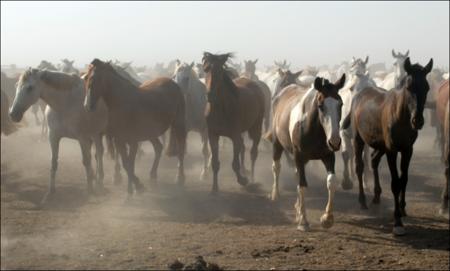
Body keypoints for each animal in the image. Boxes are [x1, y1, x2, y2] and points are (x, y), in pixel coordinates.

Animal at [9, 68, 109, 204]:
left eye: (30, 87)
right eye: (16, 86)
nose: (13, 114)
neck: (65, 104)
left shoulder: (82, 138)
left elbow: (86, 161)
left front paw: (90, 191)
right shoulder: (53, 137)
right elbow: (54, 162)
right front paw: (50, 193)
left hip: (98, 133)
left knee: (99, 152)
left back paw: (100, 181)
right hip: (93, 135)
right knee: (96, 153)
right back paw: (96, 178)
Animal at [83, 58, 186, 197]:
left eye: (94, 78)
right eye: (85, 78)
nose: (87, 105)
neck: (123, 102)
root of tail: (173, 83)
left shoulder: (133, 142)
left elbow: (130, 164)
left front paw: (135, 187)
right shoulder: (119, 141)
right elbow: (127, 164)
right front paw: (134, 188)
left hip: (179, 125)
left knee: (181, 150)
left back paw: (180, 178)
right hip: (151, 133)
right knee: (158, 148)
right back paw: (152, 175)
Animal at [202, 52, 266, 193]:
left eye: (220, 71)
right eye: (205, 69)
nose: (209, 95)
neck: (221, 109)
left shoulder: (235, 135)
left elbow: (235, 164)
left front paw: (243, 180)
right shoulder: (213, 135)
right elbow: (215, 162)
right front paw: (214, 188)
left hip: (256, 127)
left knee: (253, 153)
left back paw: (252, 178)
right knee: (243, 148)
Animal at [268, 75, 346, 232]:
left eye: (340, 104)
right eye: (321, 105)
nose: (335, 141)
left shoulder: (328, 156)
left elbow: (331, 182)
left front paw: (327, 218)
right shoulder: (298, 156)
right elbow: (302, 185)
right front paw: (303, 221)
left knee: (296, 174)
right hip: (277, 144)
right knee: (277, 167)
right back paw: (276, 193)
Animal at [342, 56, 434, 236]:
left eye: (427, 87)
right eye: (409, 87)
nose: (418, 121)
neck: (401, 115)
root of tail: (359, 95)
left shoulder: (407, 149)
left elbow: (404, 179)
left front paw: (403, 208)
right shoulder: (392, 150)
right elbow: (395, 183)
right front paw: (397, 221)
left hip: (380, 144)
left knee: (374, 160)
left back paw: (376, 196)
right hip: (358, 140)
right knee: (360, 166)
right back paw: (363, 201)